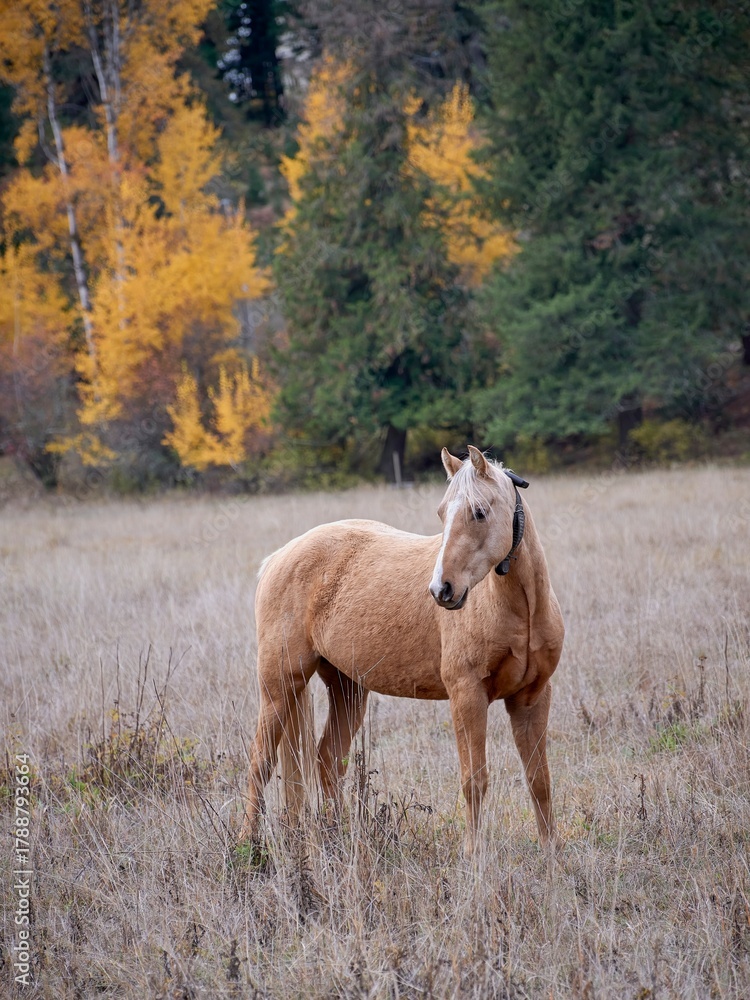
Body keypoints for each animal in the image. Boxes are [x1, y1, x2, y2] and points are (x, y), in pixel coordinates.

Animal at [241, 445, 564, 855]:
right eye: (442, 513)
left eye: (479, 512)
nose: (442, 589)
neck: (519, 611)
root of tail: (278, 558)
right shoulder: (467, 697)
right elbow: (474, 780)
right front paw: (473, 856)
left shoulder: (531, 698)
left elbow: (539, 780)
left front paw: (552, 854)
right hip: (279, 686)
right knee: (260, 763)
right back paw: (246, 845)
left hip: (347, 689)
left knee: (328, 760)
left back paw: (335, 837)